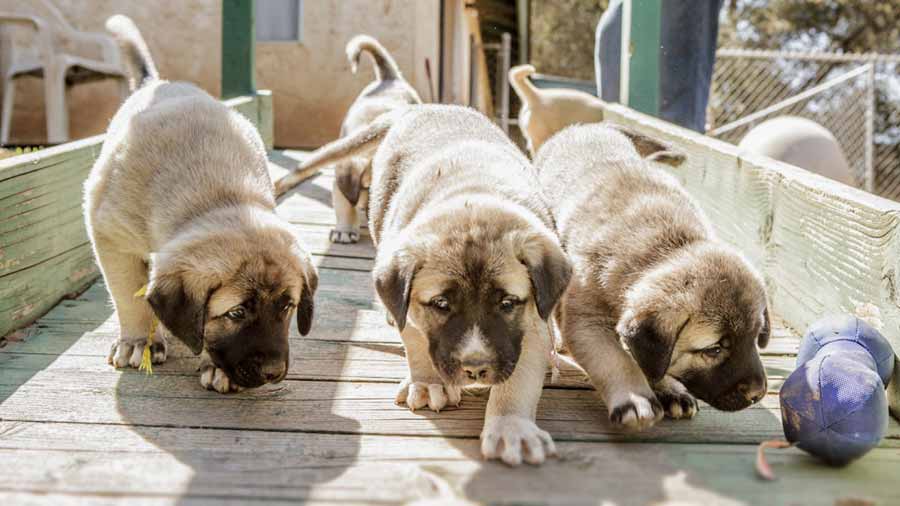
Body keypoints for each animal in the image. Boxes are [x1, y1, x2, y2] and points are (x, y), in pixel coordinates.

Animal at [84, 15, 316, 394]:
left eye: (287, 307)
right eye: (236, 313)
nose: (273, 372)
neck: (220, 195)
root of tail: (158, 83)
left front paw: (215, 367)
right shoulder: (111, 239)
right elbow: (127, 295)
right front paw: (138, 340)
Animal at [284, 104, 572, 466]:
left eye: (507, 304)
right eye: (441, 305)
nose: (475, 368)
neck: (473, 192)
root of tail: (418, 106)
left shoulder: (530, 327)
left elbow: (517, 381)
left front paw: (510, 426)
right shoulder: (412, 304)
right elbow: (416, 340)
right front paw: (426, 383)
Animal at [536, 122, 768, 426]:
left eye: (755, 337)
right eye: (713, 350)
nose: (759, 393)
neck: (668, 246)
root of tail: (589, 125)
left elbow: (653, 363)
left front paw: (669, 389)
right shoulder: (587, 320)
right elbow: (617, 360)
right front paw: (635, 398)